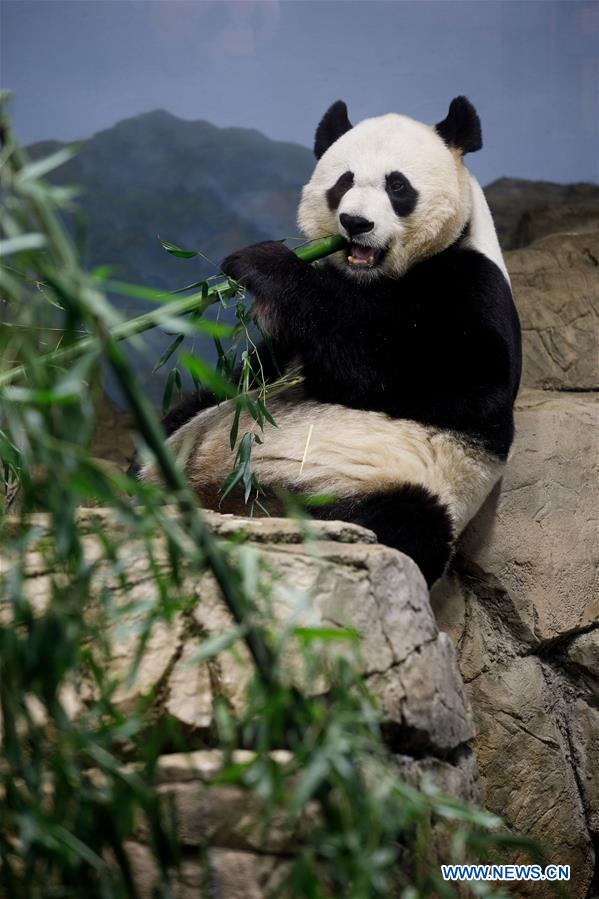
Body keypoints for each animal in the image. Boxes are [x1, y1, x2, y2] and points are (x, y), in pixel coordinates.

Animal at [140, 96, 521, 588]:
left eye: (397, 185)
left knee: (408, 524)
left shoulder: (472, 288)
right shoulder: (278, 352)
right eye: (344, 182)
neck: (375, 278)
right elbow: (256, 370)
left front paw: (264, 264)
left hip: (402, 485)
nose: (355, 223)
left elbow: (455, 382)